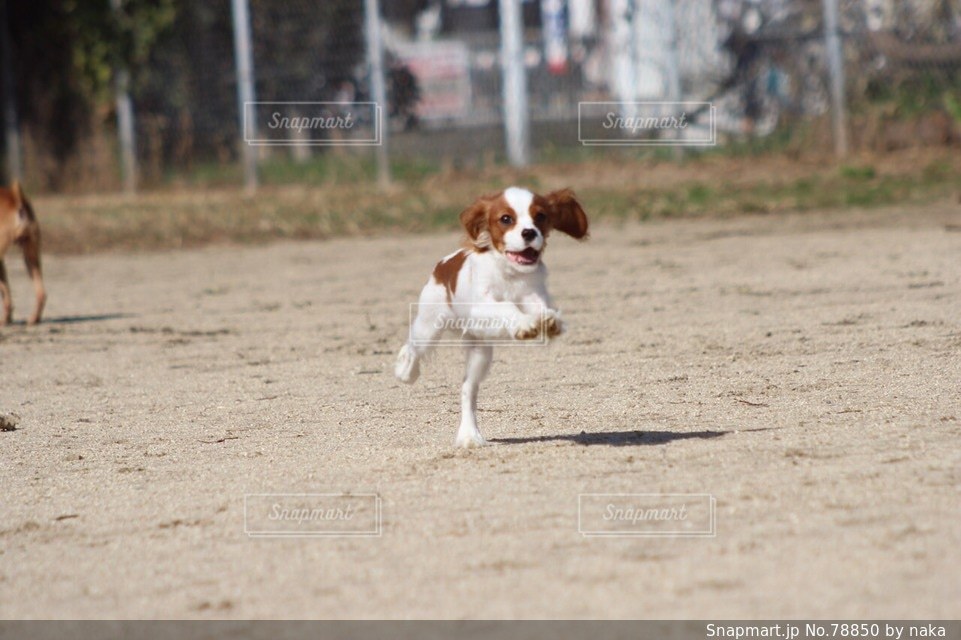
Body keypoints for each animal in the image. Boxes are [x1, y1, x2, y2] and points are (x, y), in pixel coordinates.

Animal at [394, 185, 588, 444]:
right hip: (429, 325)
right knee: (413, 348)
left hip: (480, 353)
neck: (510, 272)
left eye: (541, 216)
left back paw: (470, 434)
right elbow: (506, 306)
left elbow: (541, 309)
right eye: (506, 219)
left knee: (468, 389)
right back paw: (406, 372)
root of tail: (444, 264)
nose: (529, 232)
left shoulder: (533, 293)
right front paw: (524, 325)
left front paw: (549, 322)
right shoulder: (480, 307)